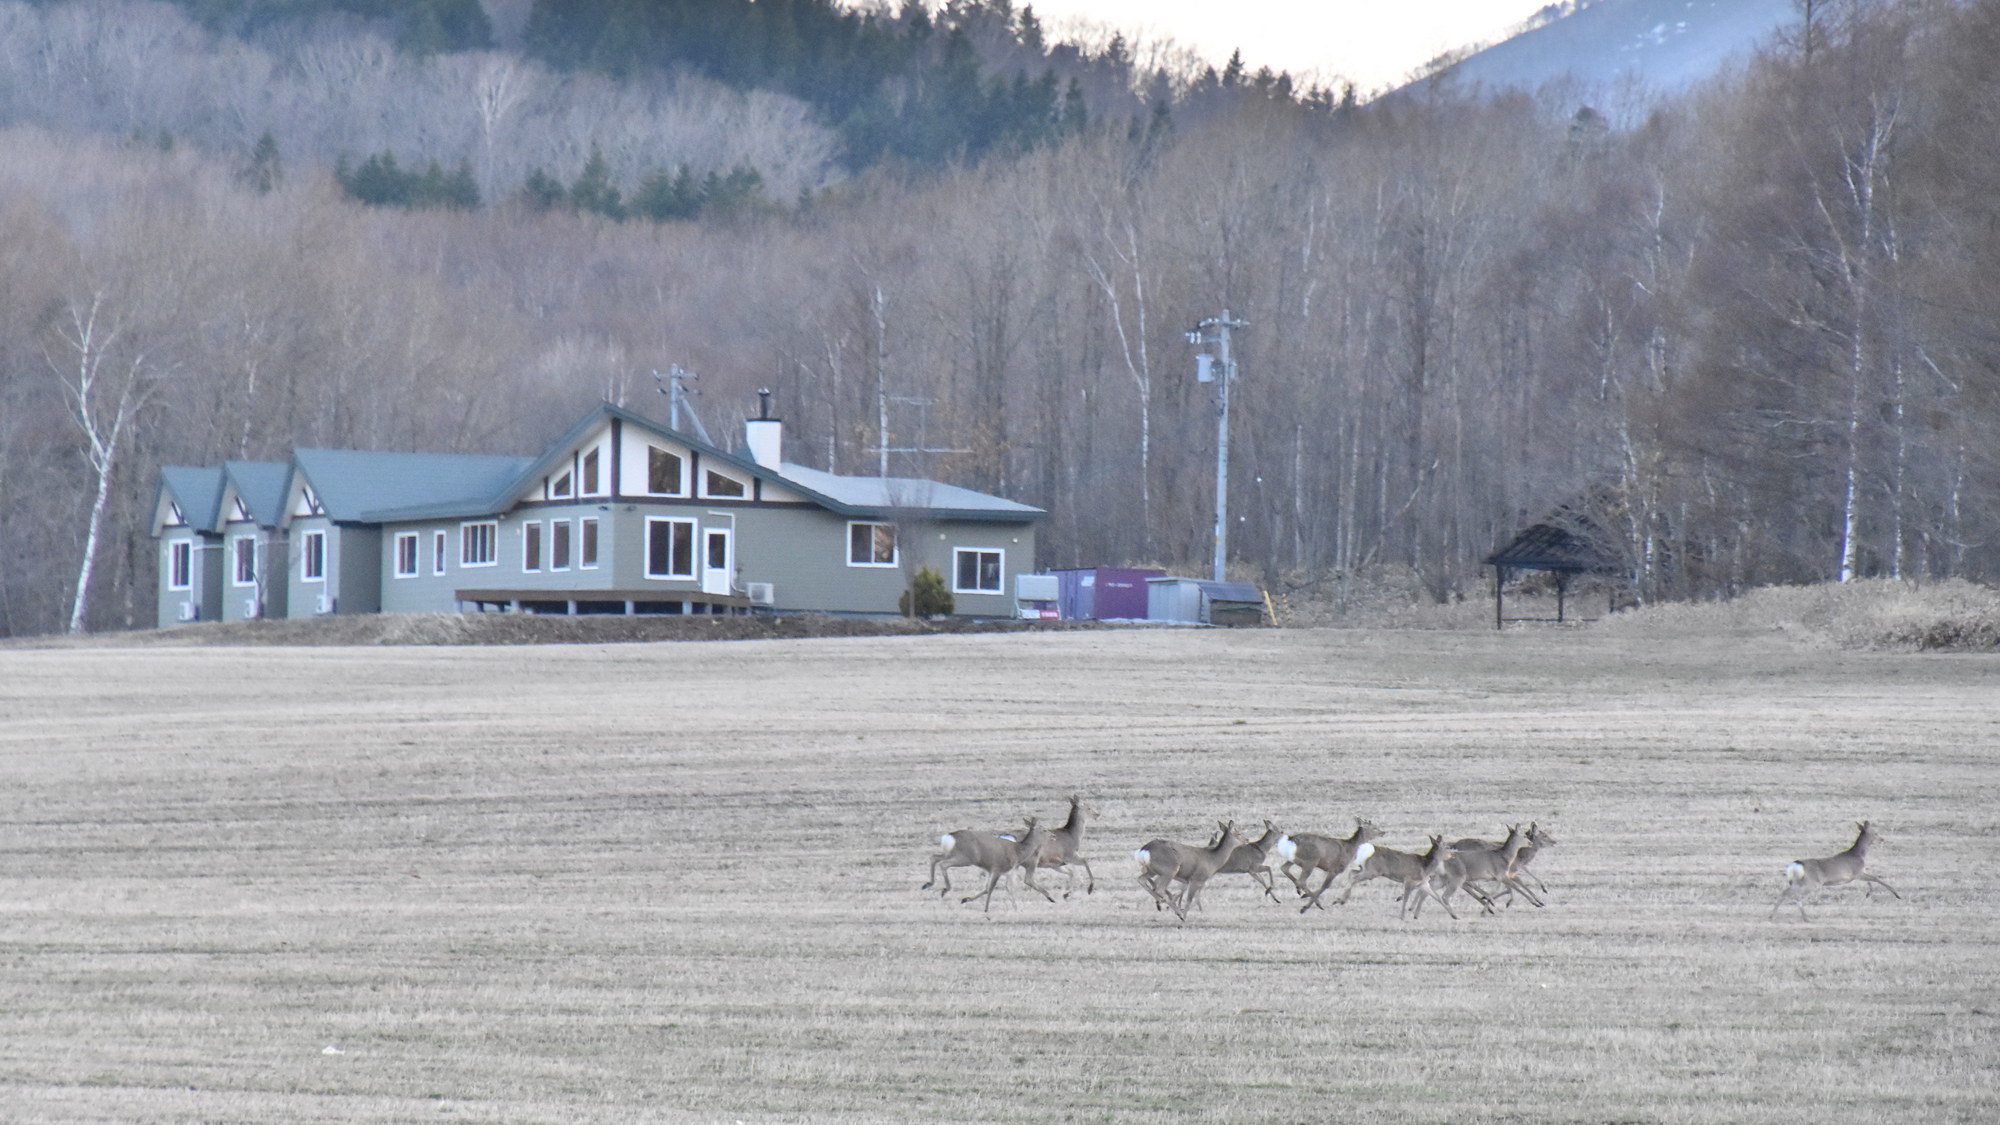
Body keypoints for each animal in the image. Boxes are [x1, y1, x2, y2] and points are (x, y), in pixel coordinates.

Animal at [1336, 832, 1464, 920]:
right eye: (1446, 847)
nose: (1453, 854)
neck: (1425, 866)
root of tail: (1367, 850)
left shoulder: (1423, 883)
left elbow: (1437, 897)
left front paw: (1455, 916)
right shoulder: (1408, 879)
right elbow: (1406, 898)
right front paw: (1402, 916)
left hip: (1366, 869)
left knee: (1352, 872)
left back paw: (1340, 899)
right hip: (1372, 871)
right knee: (1353, 877)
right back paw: (1341, 900)